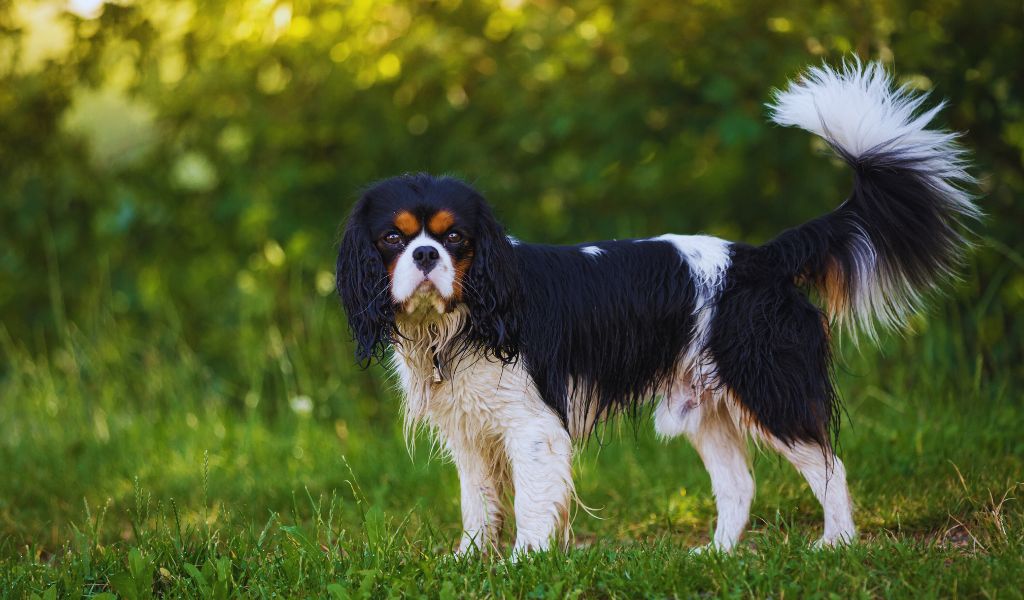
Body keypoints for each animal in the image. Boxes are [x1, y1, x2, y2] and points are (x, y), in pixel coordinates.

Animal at [333, 60, 974, 552]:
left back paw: (834, 545)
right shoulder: (471, 432)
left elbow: (533, 504)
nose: (425, 255)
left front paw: (523, 563)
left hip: (767, 384)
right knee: (739, 484)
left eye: (455, 238)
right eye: (392, 239)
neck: (460, 319)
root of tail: (761, 258)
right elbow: (478, 504)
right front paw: (469, 562)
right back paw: (717, 556)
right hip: (706, 406)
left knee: (829, 466)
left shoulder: (532, 427)